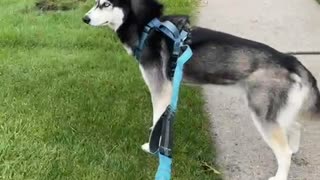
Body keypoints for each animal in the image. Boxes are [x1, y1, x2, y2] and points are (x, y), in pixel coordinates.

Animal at [84, 0, 318, 179]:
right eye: (96, 2)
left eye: (105, 4)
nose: (84, 19)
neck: (148, 25)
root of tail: (289, 59)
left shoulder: (160, 90)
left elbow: (157, 119)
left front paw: (152, 147)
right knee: (295, 126)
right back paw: (294, 147)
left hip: (263, 114)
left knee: (283, 152)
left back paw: (281, 172)